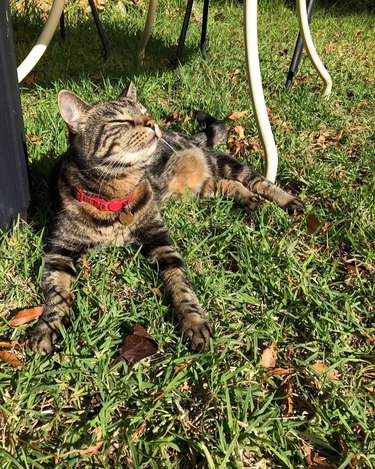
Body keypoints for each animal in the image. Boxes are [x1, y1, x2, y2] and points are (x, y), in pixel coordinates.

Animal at [30, 83, 304, 354]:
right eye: (121, 120)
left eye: (144, 111)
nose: (152, 122)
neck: (116, 195)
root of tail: (186, 136)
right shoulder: (58, 252)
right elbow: (56, 295)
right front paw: (48, 327)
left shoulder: (160, 240)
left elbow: (181, 285)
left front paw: (194, 321)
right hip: (202, 186)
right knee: (230, 184)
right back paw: (249, 200)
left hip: (224, 162)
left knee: (257, 180)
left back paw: (288, 201)